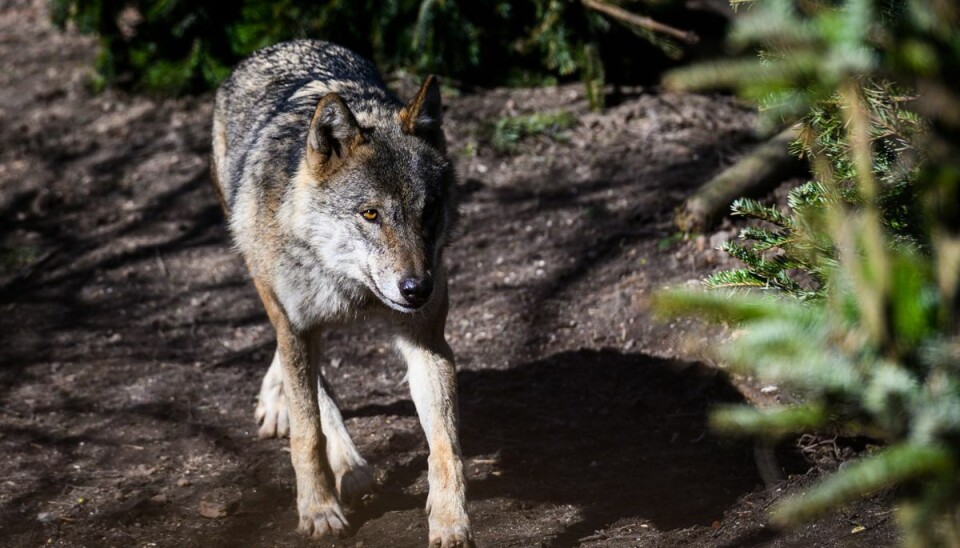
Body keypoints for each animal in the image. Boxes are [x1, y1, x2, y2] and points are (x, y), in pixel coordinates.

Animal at [214, 40, 476, 544]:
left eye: (428, 210)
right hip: (264, 280)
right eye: (370, 213)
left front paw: (451, 521)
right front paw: (317, 509)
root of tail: (282, 44)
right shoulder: (295, 325)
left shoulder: (427, 341)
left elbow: (445, 445)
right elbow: (307, 433)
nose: (417, 289)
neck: (350, 288)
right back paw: (344, 463)